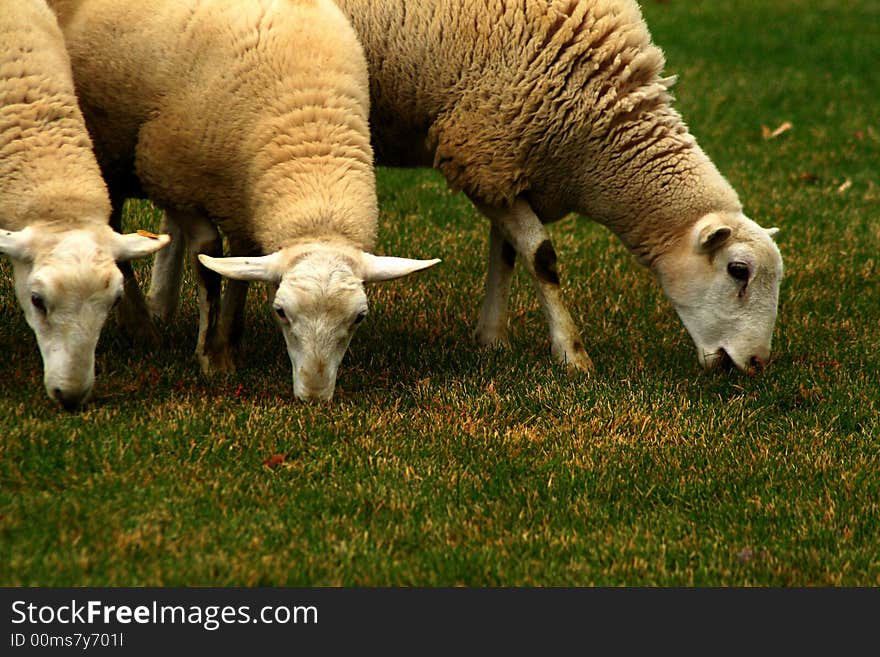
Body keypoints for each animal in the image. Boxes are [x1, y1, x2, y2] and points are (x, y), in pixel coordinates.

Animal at [49, 0, 440, 402]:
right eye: (280, 311)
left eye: (359, 317)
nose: (314, 397)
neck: (310, 128)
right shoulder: (177, 178)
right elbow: (209, 261)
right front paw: (212, 356)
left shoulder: (244, 201)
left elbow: (241, 269)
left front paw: (229, 340)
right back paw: (142, 329)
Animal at [334, 0, 788, 372]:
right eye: (738, 270)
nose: (757, 363)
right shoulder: (478, 150)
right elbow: (541, 257)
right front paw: (572, 355)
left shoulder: (504, 167)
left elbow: (507, 253)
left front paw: (492, 340)